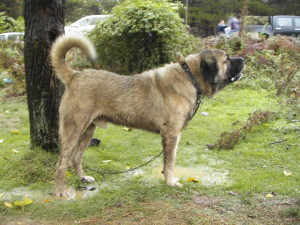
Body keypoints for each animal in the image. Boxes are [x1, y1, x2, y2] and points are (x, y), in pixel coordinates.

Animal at [51, 35, 244, 197]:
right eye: (227, 59)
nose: (243, 59)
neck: (190, 76)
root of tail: (75, 76)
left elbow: (167, 162)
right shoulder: (172, 134)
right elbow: (170, 161)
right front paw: (170, 182)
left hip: (88, 131)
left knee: (76, 158)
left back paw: (83, 178)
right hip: (74, 130)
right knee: (61, 163)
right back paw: (60, 191)